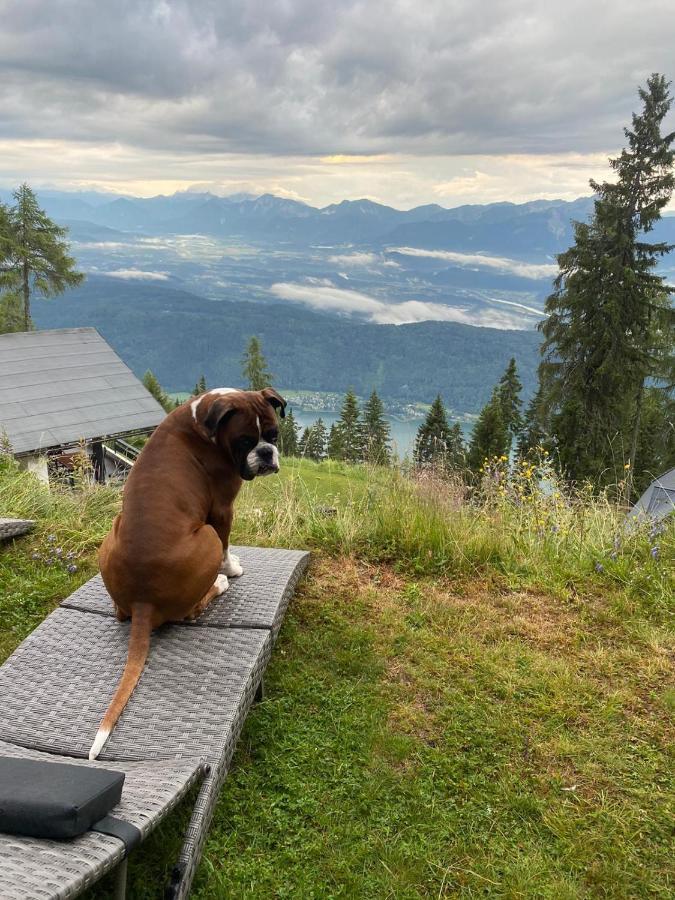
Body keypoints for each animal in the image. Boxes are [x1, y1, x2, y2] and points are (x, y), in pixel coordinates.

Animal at [90, 386, 286, 760]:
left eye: (272, 435)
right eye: (244, 441)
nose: (266, 453)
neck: (203, 422)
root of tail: (142, 602)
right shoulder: (221, 509)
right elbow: (226, 548)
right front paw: (232, 569)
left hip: (111, 535)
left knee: (121, 612)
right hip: (205, 535)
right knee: (194, 608)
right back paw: (220, 583)